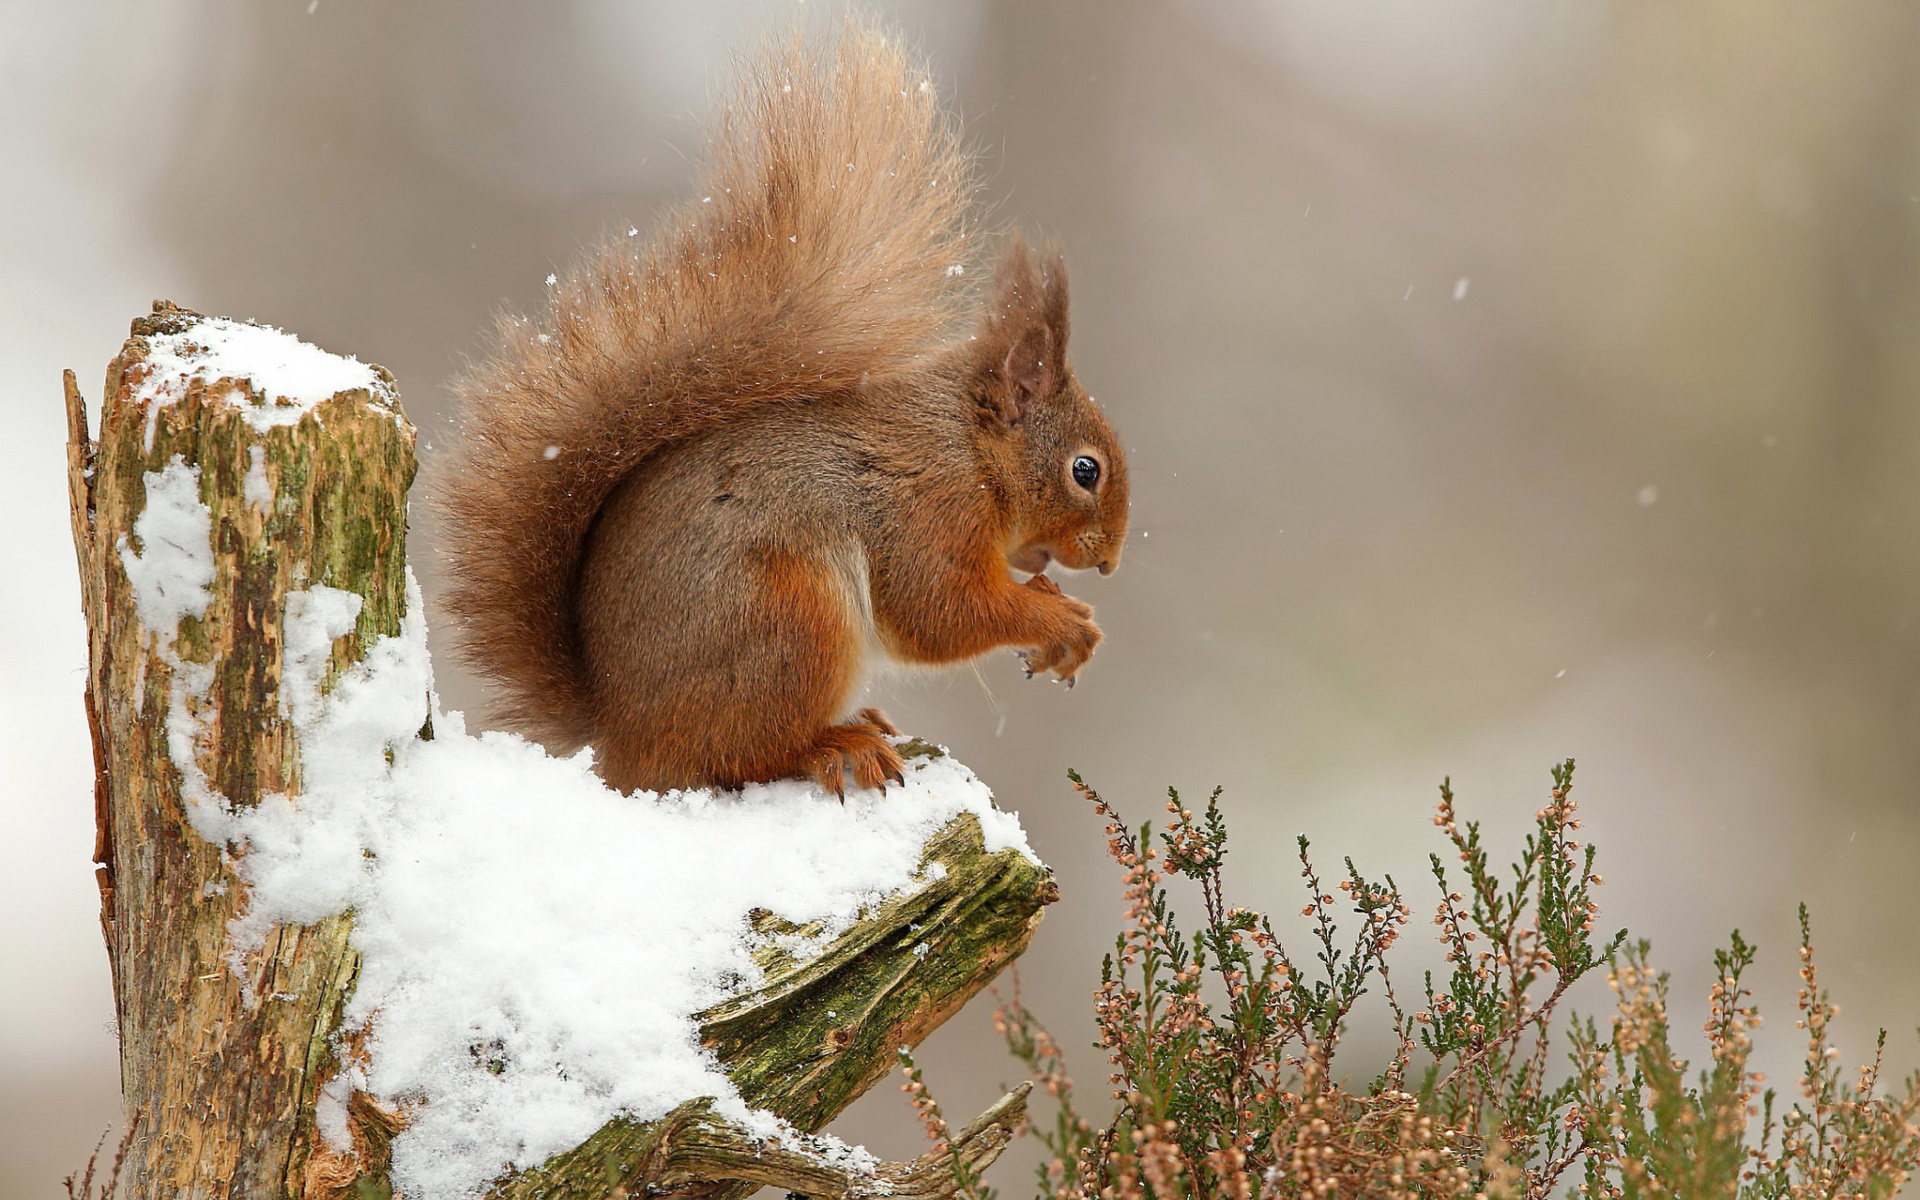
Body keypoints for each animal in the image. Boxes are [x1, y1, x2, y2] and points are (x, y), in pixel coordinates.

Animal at [432, 28, 1121, 794]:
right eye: (1085, 470)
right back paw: (835, 745)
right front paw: (1060, 620)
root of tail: (623, 742)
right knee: (742, 755)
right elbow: (941, 611)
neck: (967, 447)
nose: (1109, 562)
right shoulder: (928, 512)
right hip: (792, 620)